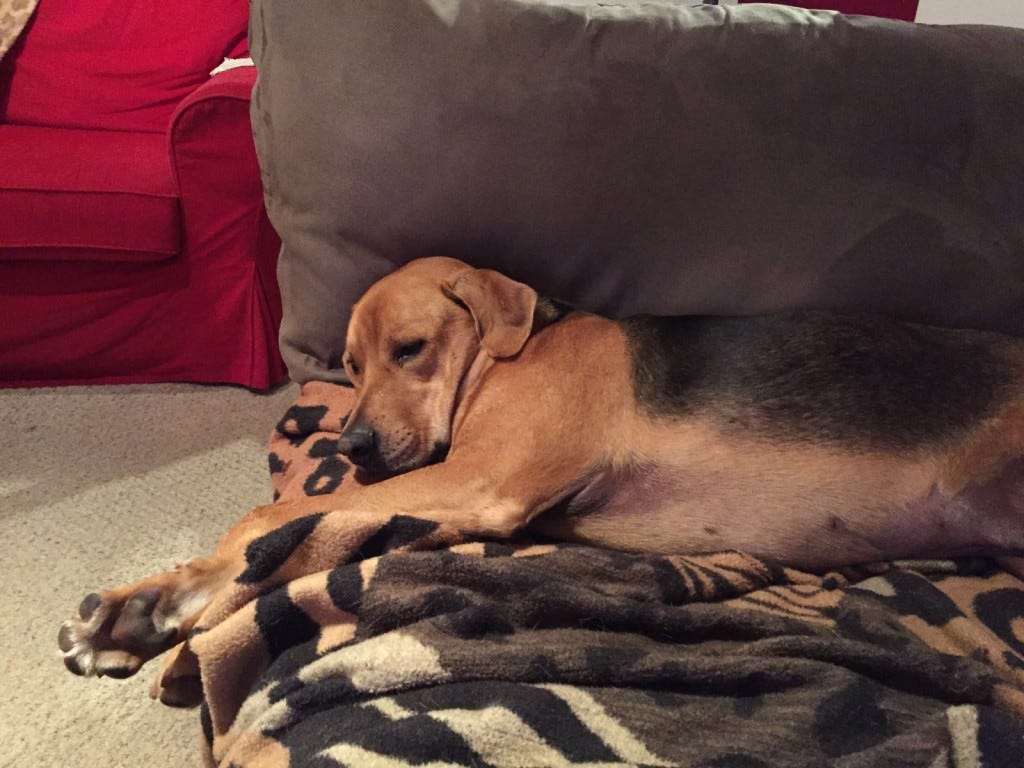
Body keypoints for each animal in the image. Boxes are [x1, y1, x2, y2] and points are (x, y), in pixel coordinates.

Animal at [59, 256, 1019, 684]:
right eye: (350, 365)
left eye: (410, 350)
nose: (353, 448)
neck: (504, 355)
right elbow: (283, 537)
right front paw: (141, 608)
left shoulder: (485, 481)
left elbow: (261, 525)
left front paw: (174, 600)